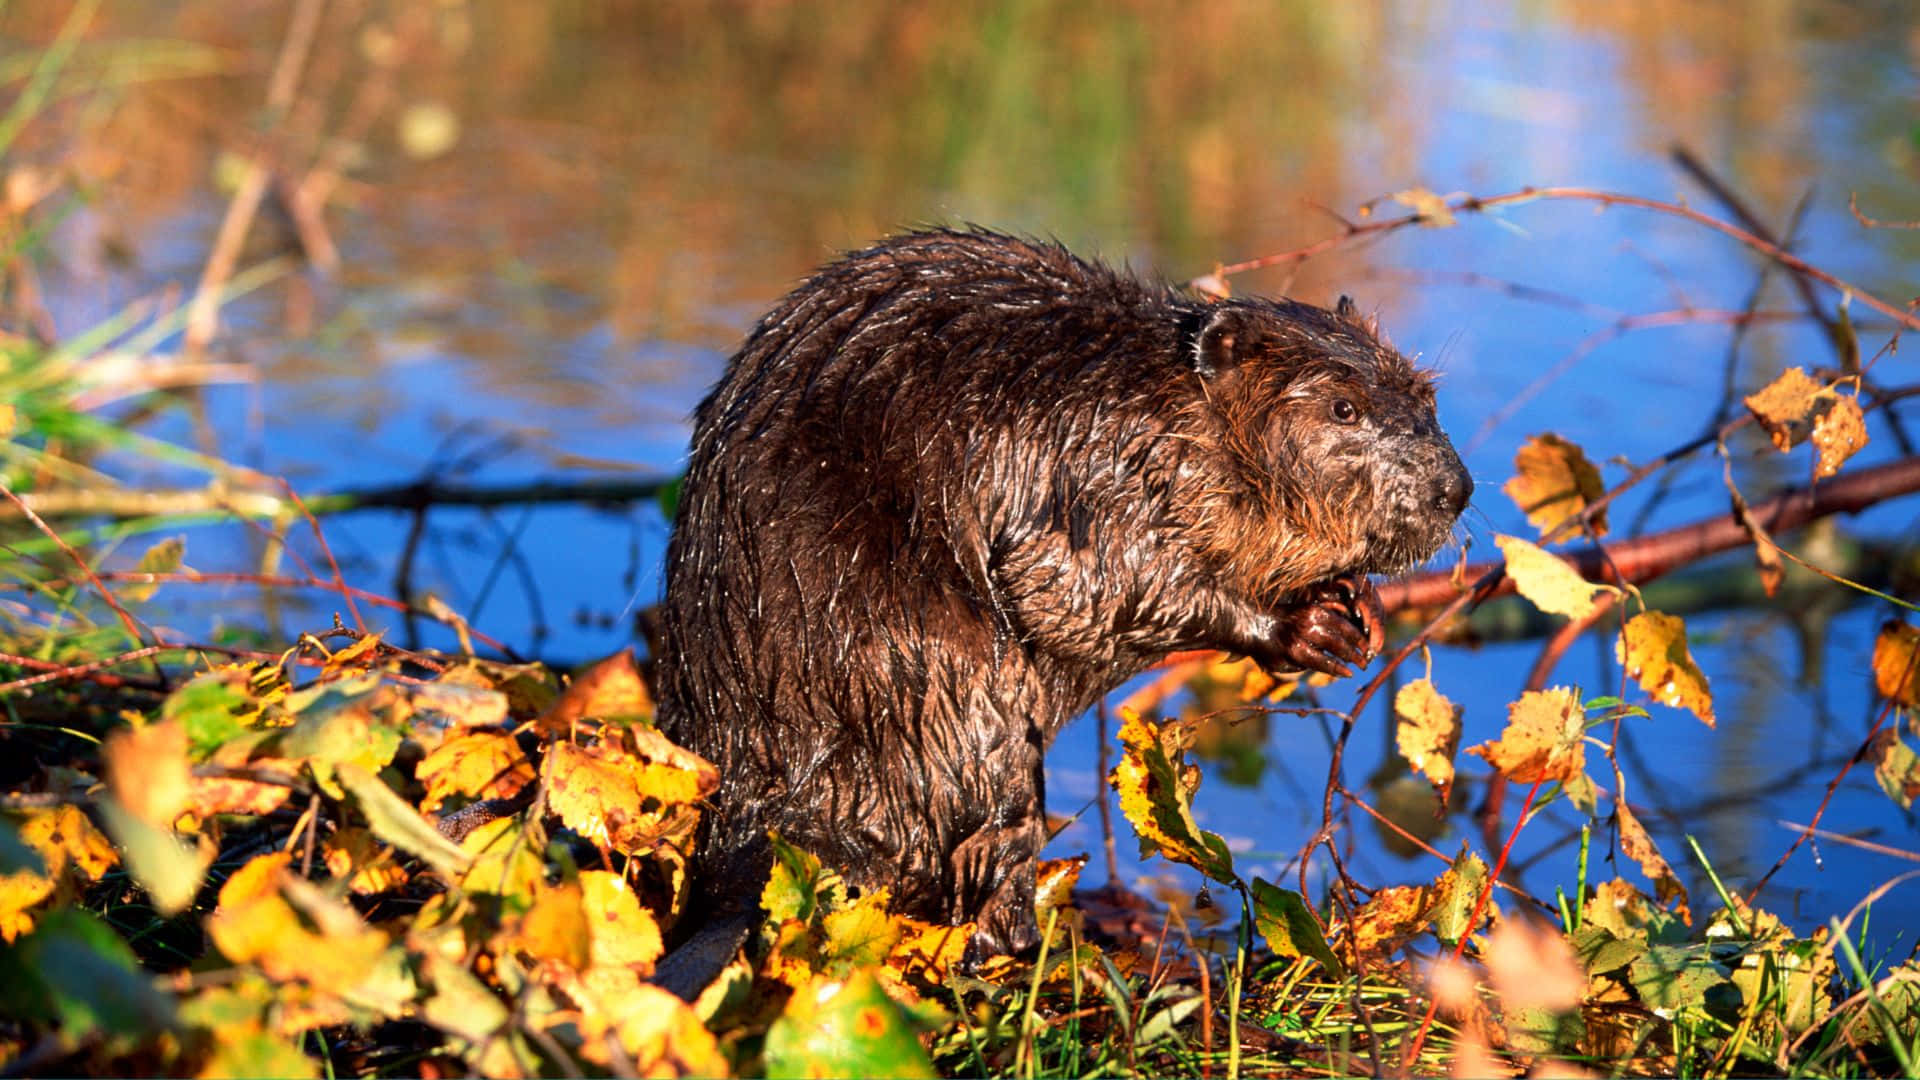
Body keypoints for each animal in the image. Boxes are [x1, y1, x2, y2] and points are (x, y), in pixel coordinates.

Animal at [652, 228, 1474, 991]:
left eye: (1426, 397)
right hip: (949, 695)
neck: (1169, 401)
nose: (1454, 491)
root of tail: (755, 844)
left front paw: (1358, 606)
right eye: (1344, 407)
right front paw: (1305, 628)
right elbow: (1069, 587)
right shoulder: (1104, 471)